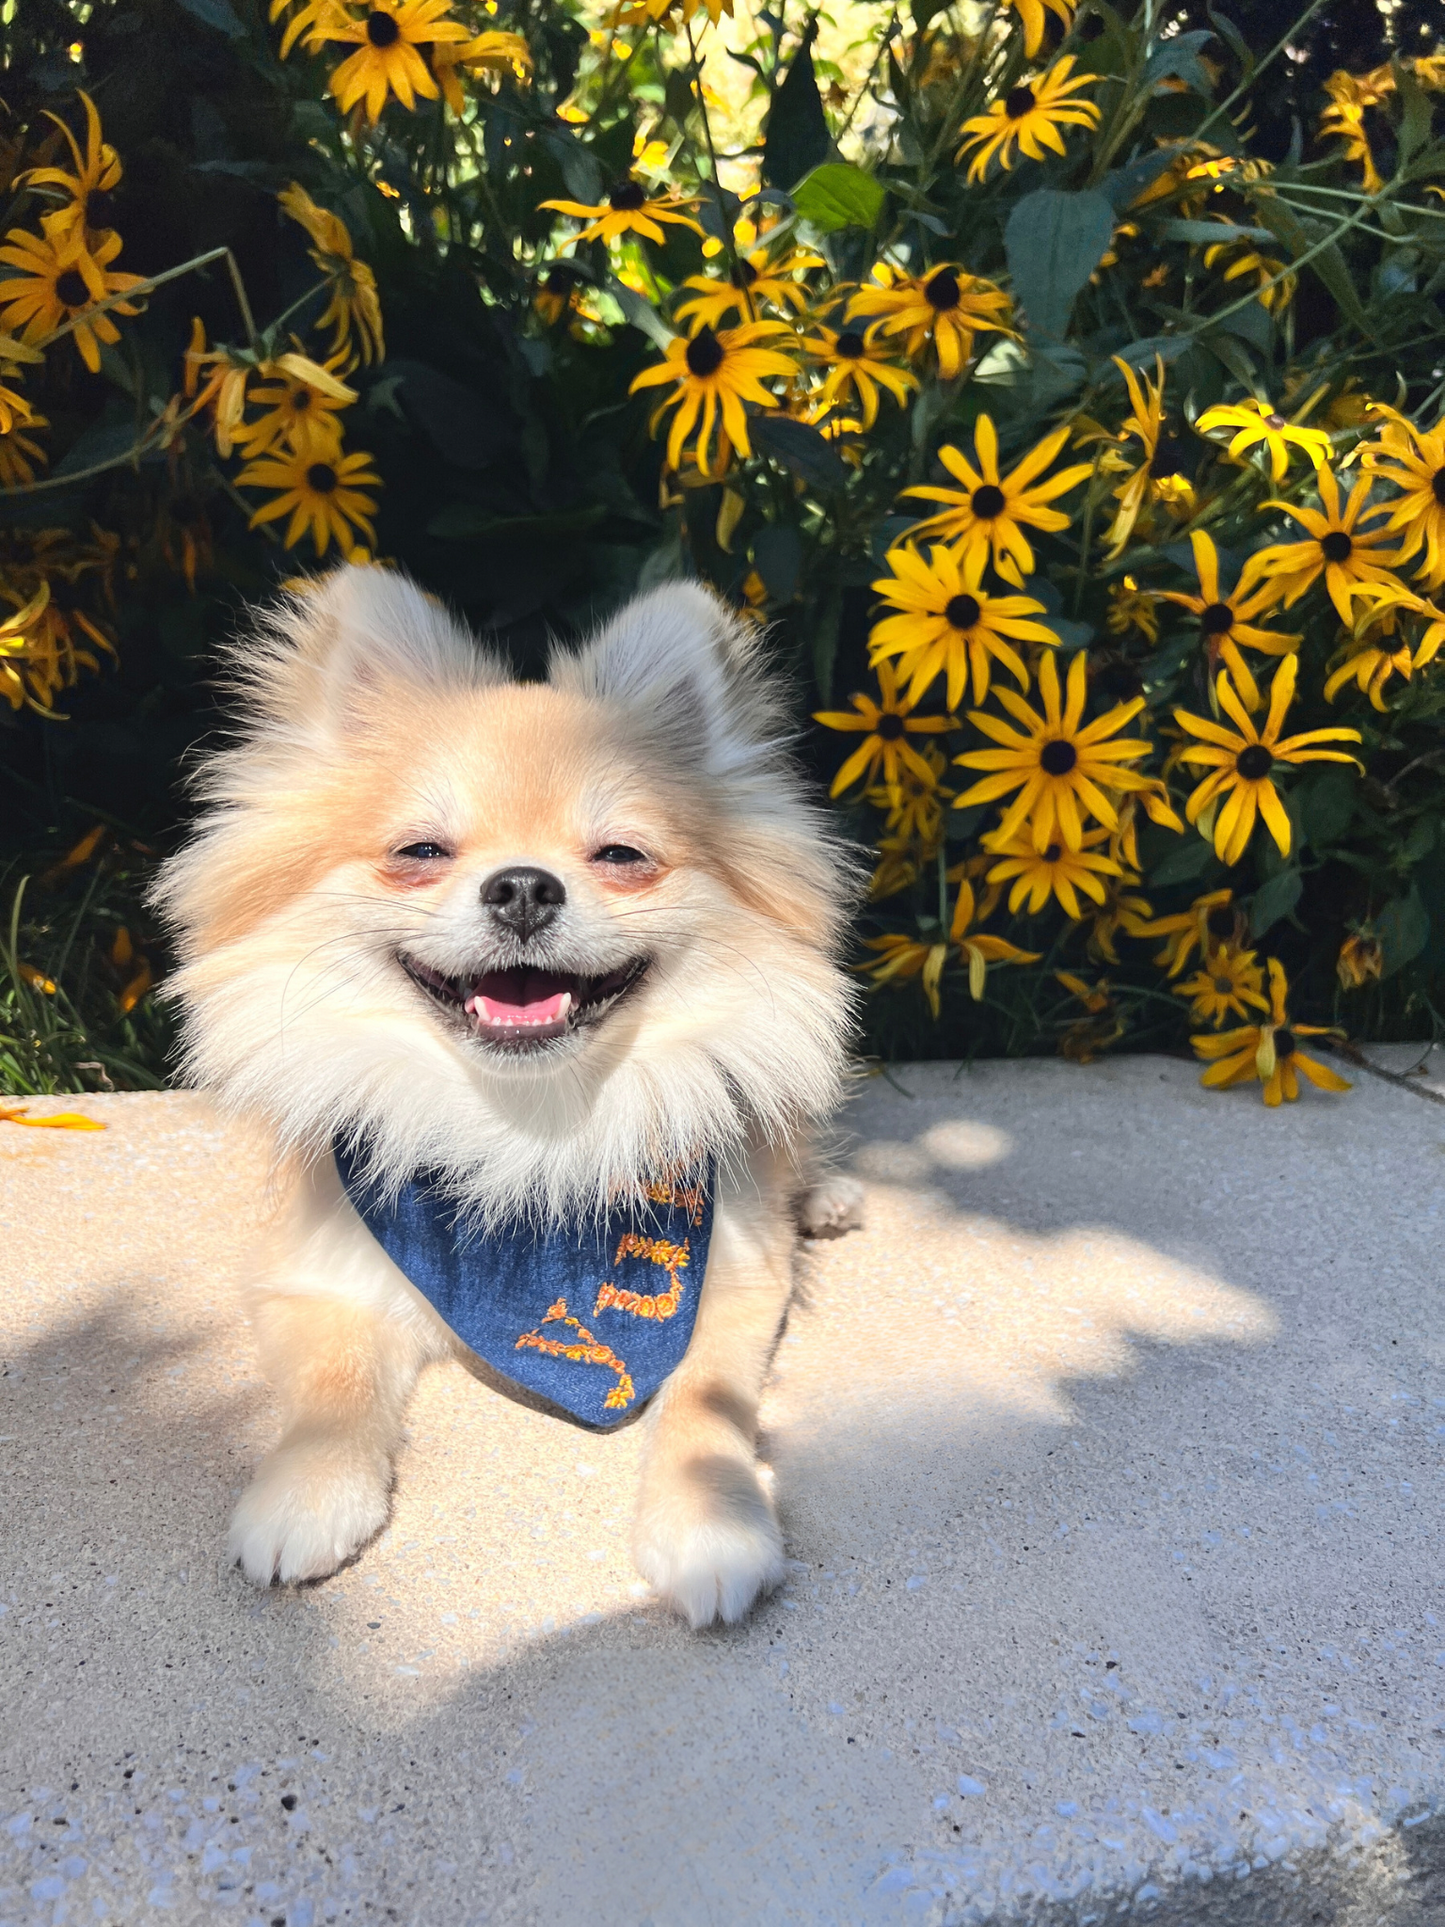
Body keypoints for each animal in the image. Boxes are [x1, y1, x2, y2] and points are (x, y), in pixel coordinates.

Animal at [157, 562, 859, 1626]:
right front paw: (304, 1492)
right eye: (420, 851)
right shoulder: (322, 1271)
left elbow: (704, 1404)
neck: (530, 1137)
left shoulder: (738, 1281)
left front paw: (710, 1523)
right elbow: (328, 1389)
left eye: (620, 856)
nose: (524, 885)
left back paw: (824, 1196)